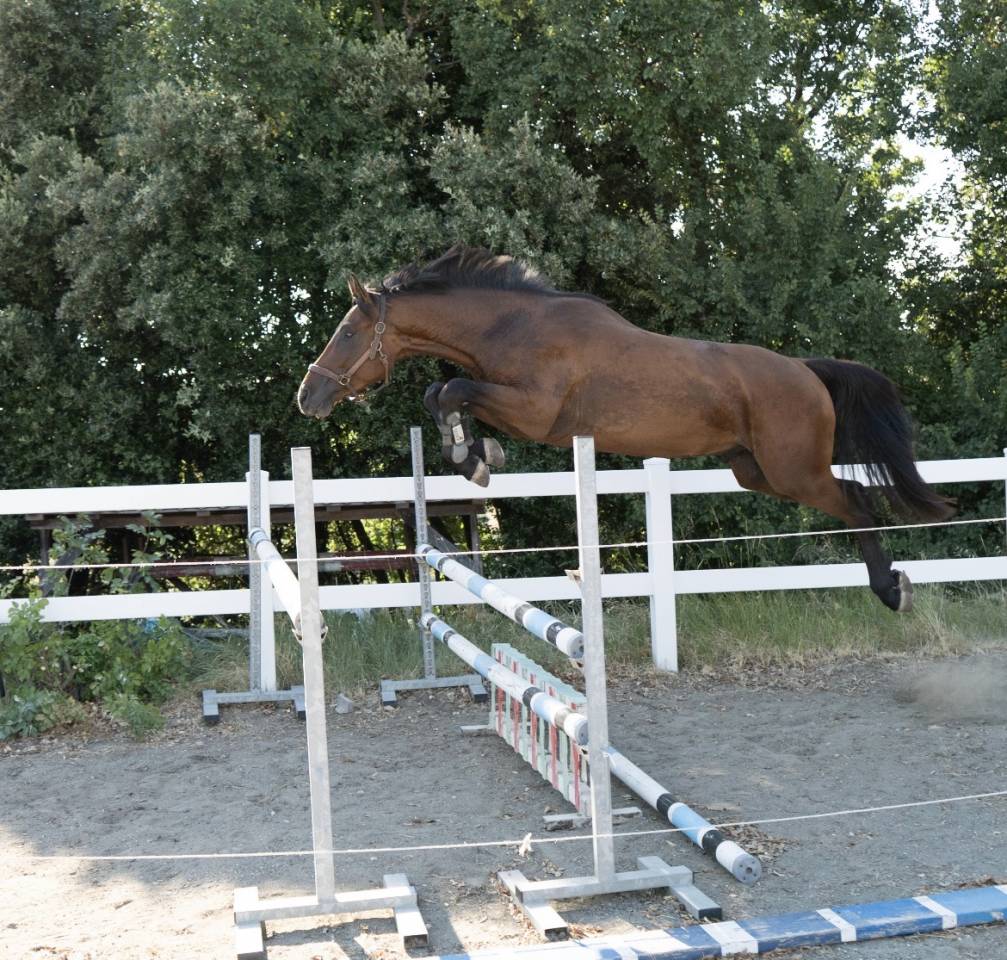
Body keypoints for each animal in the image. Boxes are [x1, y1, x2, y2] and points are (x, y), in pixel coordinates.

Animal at [297, 245, 954, 614]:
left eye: (349, 333)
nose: (310, 397)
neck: (513, 326)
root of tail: (807, 370)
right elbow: (440, 394)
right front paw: (474, 454)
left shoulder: (535, 412)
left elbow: (453, 390)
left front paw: (475, 458)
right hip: (756, 471)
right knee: (854, 496)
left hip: (796, 471)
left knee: (859, 501)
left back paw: (892, 591)